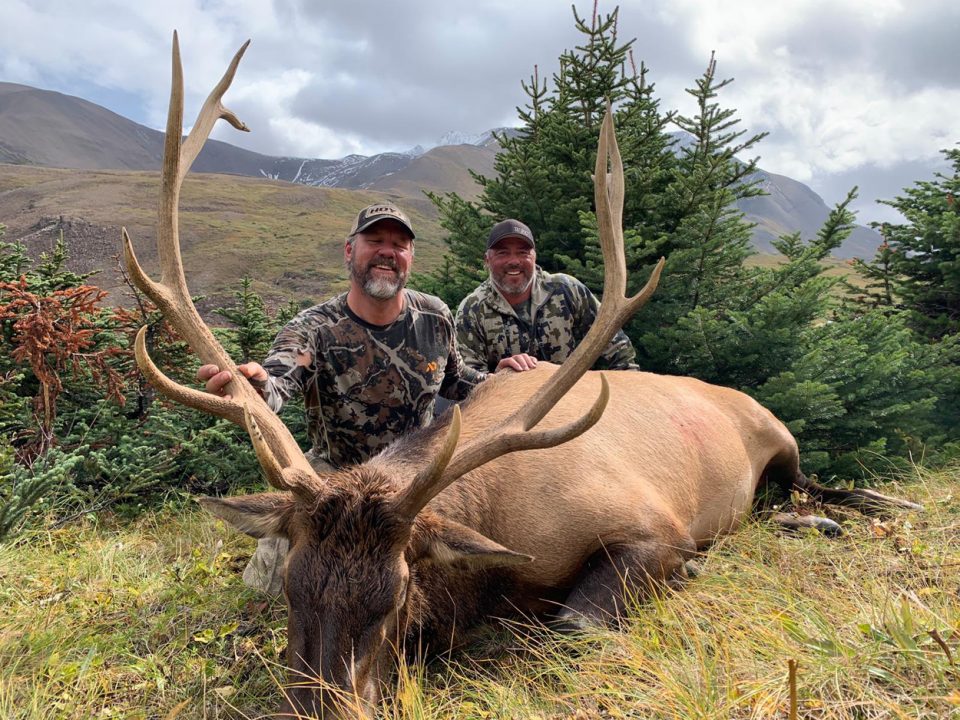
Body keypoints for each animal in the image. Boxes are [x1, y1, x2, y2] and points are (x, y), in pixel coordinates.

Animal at [122, 35, 922, 718]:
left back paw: (865, 507)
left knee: (814, 487)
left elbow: (576, 625)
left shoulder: (655, 526)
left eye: (396, 594)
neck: (495, 546)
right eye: (293, 588)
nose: (318, 705)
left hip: (778, 437)